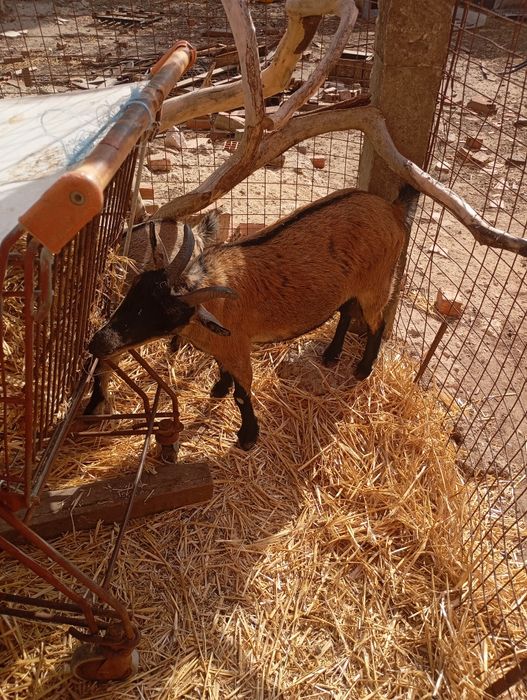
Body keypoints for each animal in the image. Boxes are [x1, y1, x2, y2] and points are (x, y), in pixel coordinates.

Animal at [88, 186, 415, 449]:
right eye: (135, 288)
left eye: (168, 313)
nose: (98, 343)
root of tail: (393, 208)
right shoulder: (224, 346)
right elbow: (223, 370)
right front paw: (219, 388)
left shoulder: (238, 346)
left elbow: (243, 394)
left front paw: (247, 437)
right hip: (352, 286)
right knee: (346, 311)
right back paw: (331, 354)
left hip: (376, 283)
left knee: (377, 322)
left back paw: (363, 369)